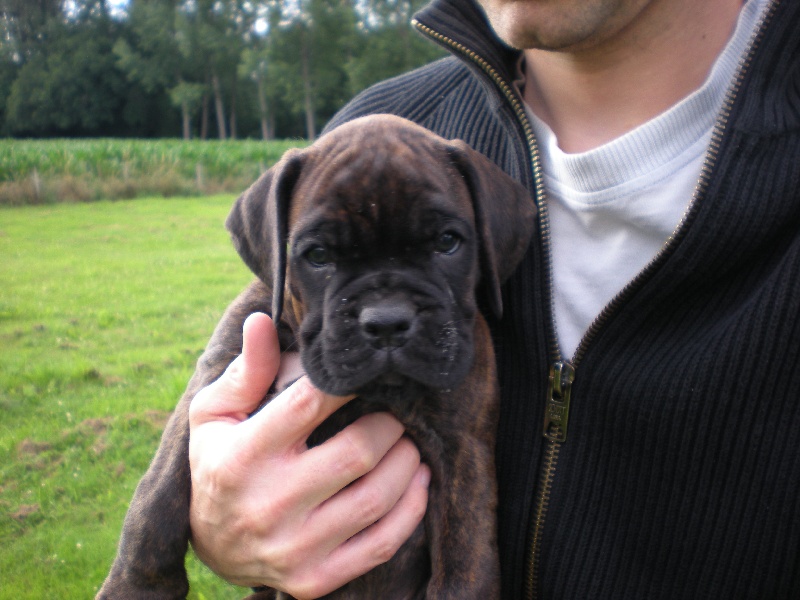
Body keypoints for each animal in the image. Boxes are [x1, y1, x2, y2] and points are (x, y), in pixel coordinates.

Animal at [98, 114, 535, 599]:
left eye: (447, 243)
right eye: (319, 255)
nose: (386, 320)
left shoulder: (463, 453)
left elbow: (464, 570)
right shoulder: (214, 374)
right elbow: (157, 491)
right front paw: (135, 586)